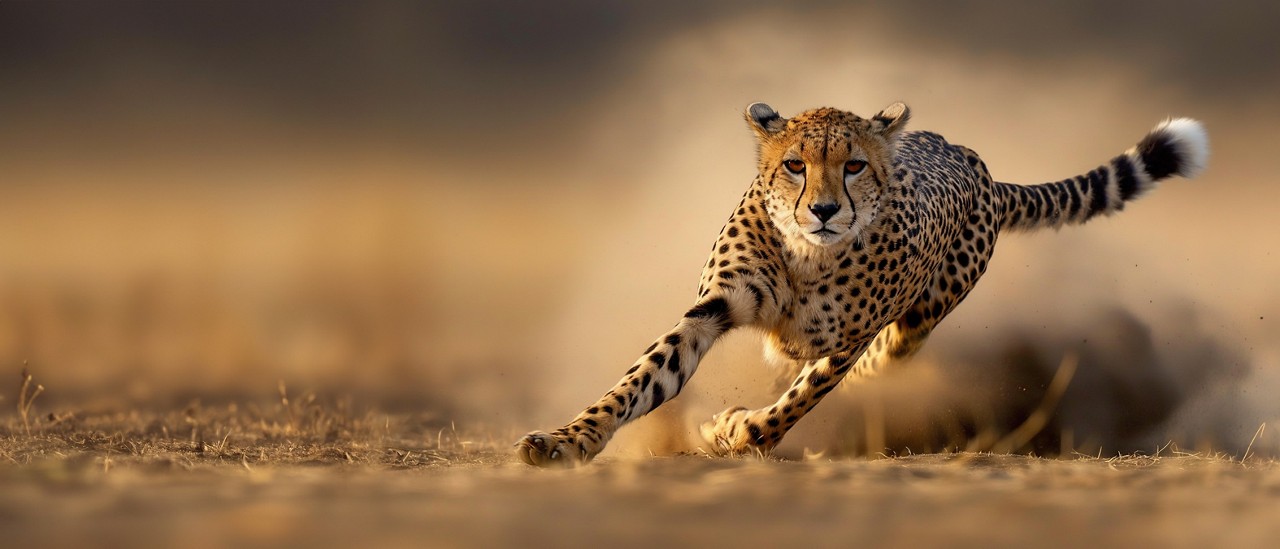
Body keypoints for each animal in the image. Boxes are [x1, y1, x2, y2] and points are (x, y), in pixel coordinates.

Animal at [515, 101, 1209, 467]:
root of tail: (975, 161)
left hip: (915, 323)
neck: (806, 255)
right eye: (795, 165)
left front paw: (737, 430)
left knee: (877, 361)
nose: (824, 210)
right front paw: (566, 442)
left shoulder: (846, 342)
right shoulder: (712, 308)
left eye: (853, 166)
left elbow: (794, 404)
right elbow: (639, 381)